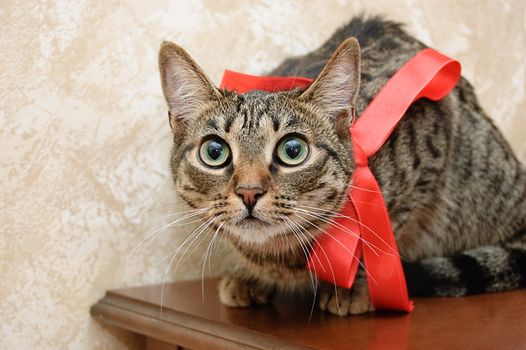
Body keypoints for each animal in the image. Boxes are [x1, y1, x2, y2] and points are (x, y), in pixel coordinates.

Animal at [159, 16, 526, 316]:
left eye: (292, 150)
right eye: (214, 151)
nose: (249, 192)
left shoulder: (430, 147)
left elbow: (384, 233)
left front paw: (356, 286)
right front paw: (249, 277)